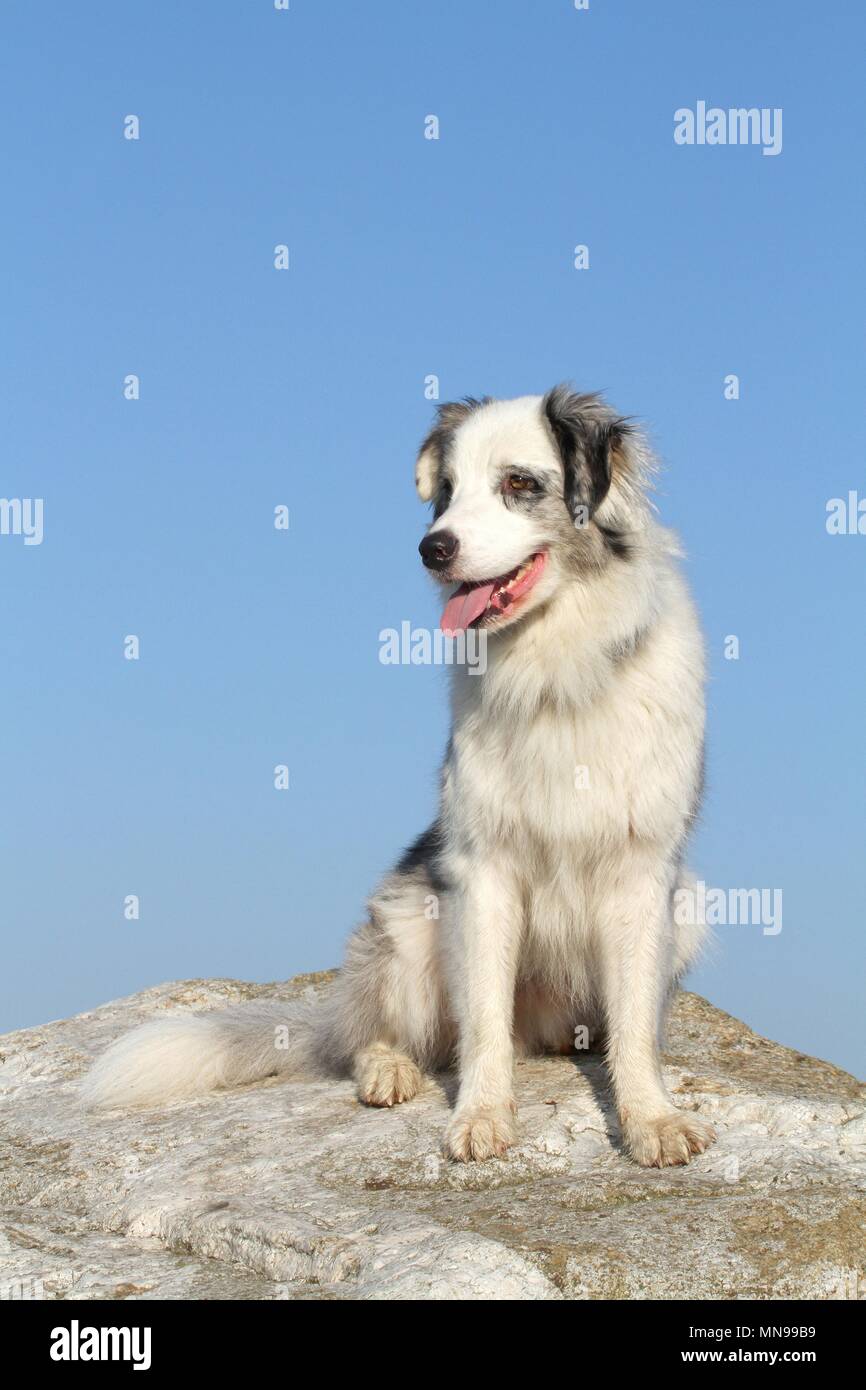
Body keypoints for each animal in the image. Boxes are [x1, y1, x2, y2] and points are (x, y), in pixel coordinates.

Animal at [83, 386, 717, 1167]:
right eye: (446, 491)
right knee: (380, 1037)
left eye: (518, 483)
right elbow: (481, 1022)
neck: (557, 669)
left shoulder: (643, 869)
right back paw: (388, 1068)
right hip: (408, 926)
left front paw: (651, 1118)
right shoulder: (479, 871)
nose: (431, 548)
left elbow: (634, 1023)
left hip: (691, 907)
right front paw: (481, 1115)